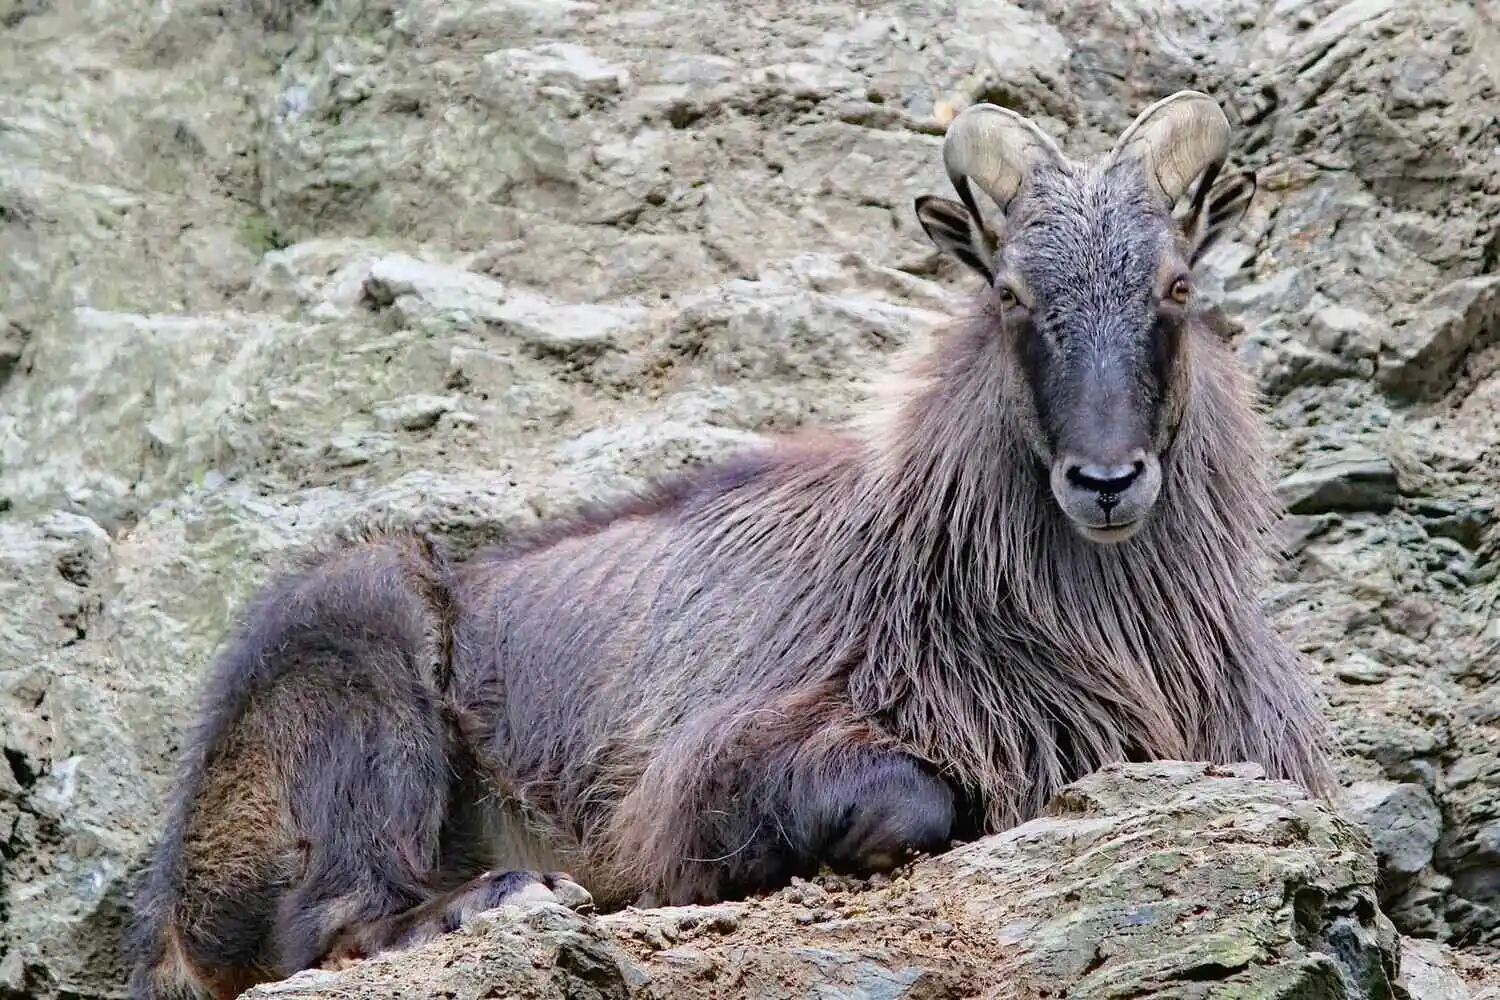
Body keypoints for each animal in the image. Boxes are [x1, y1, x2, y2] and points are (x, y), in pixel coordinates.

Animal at [126, 90, 1336, 999]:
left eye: (1176, 283)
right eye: (1010, 292)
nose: (1106, 480)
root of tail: (176, 904)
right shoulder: (722, 757)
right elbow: (910, 800)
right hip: (364, 646)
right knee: (327, 921)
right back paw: (503, 897)